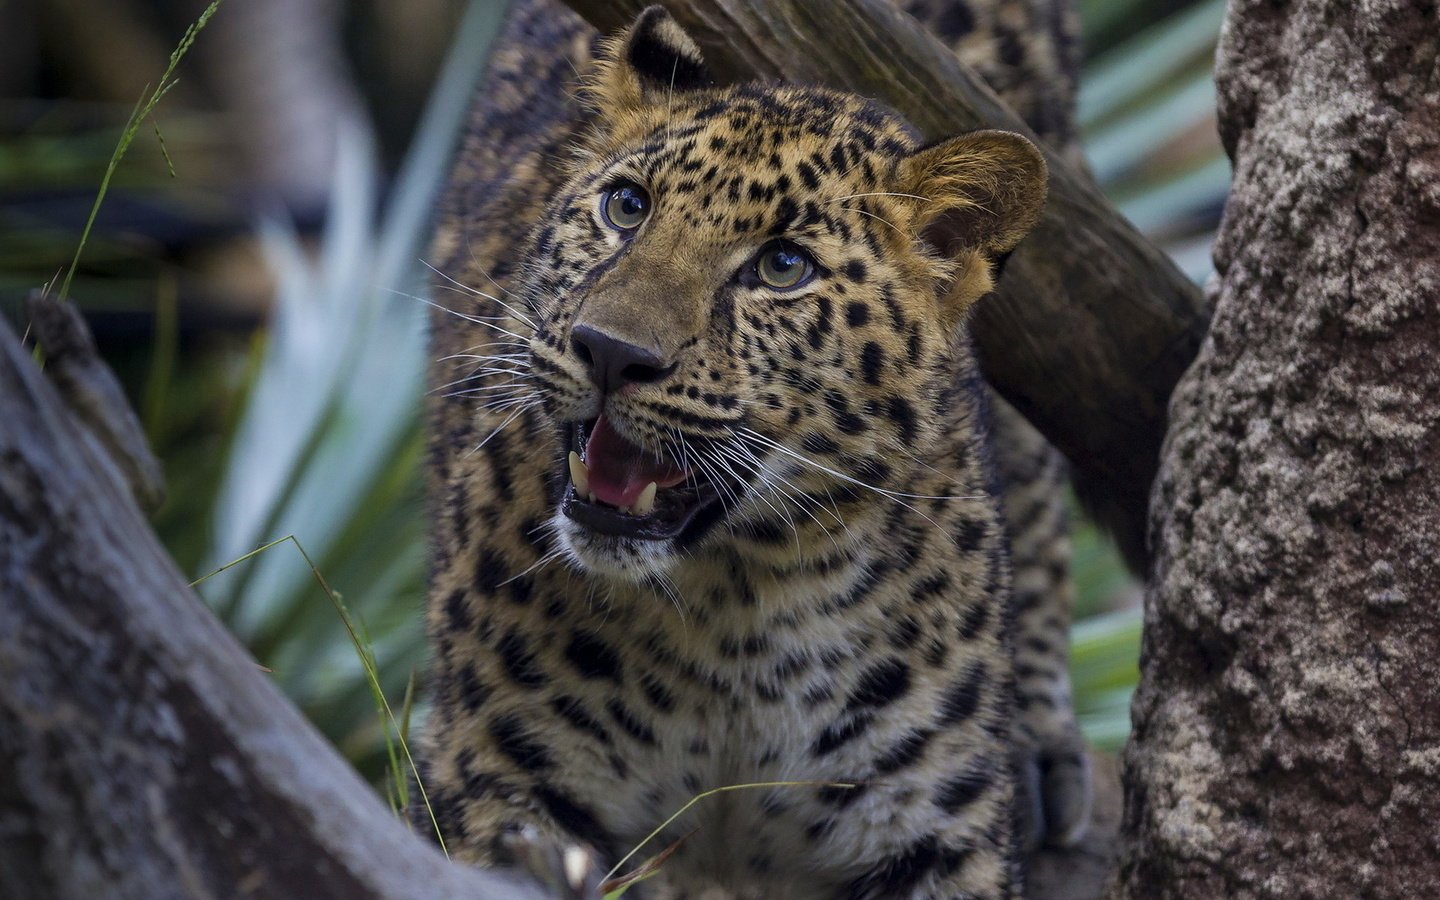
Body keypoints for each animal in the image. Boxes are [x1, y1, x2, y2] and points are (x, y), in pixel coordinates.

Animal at [417, 3, 1088, 892]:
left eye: (782, 266)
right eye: (626, 207)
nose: (609, 352)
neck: (734, 611)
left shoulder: (932, 835)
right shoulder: (500, 782)